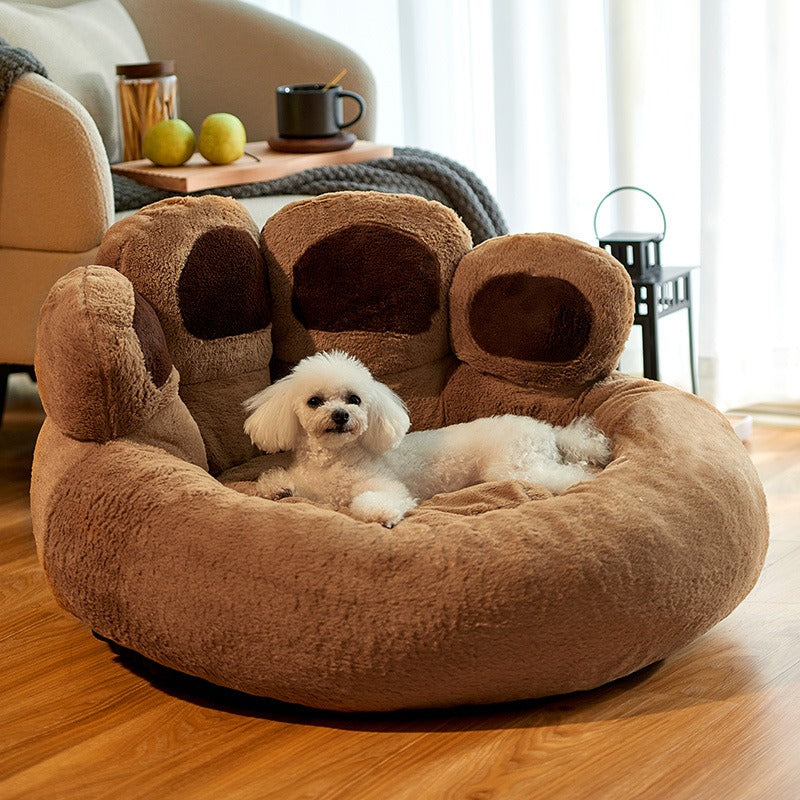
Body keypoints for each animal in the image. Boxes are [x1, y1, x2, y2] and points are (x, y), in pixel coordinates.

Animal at [244, 352, 612, 528]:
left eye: (354, 399)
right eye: (315, 401)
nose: (340, 415)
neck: (333, 460)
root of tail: (548, 430)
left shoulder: (385, 485)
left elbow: (376, 500)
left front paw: (382, 515)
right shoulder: (309, 486)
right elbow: (278, 482)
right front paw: (279, 487)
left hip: (514, 468)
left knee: (571, 474)